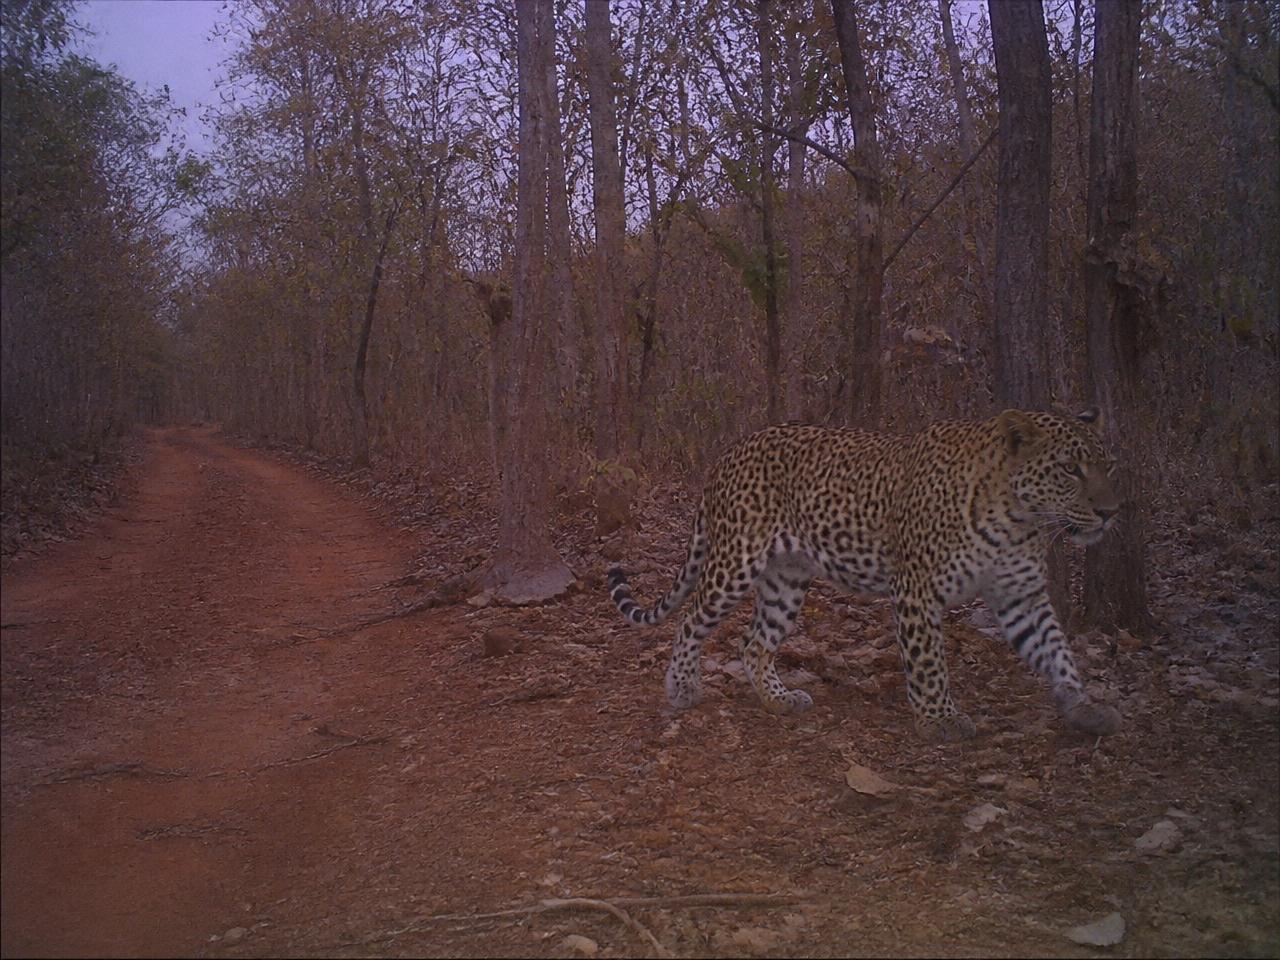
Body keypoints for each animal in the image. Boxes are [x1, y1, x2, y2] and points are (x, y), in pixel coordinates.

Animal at [607, 408, 1124, 743]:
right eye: (1070, 469)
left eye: (1108, 465)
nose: (1110, 512)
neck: (1019, 518)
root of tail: (729, 452)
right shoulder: (917, 588)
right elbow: (929, 661)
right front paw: (939, 720)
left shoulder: (1021, 596)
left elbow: (1056, 649)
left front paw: (1083, 706)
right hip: (735, 561)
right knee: (691, 617)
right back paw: (682, 687)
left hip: (786, 580)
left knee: (754, 643)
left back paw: (778, 699)